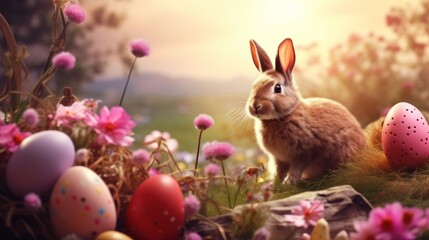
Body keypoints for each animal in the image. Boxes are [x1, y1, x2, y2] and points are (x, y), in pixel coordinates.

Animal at [246, 38, 362, 184]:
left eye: (277, 88)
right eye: (253, 86)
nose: (255, 106)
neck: (285, 115)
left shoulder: (305, 152)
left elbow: (296, 168)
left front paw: (288, 182)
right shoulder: (279, 158)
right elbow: (279, 171)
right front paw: (274, 184)